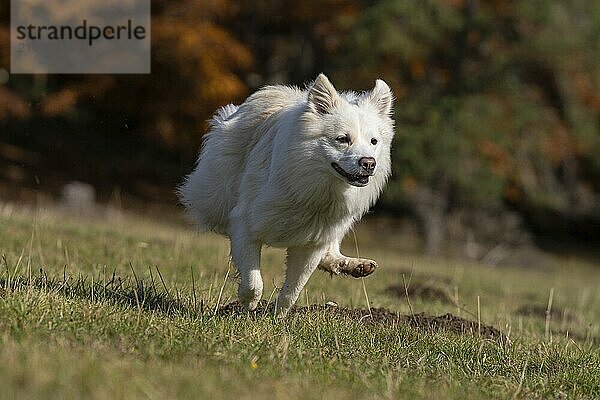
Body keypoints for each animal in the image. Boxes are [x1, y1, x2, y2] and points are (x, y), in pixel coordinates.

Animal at [178, 73, 394, 314]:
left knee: (331, 249)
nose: (369, 163)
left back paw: (353, 265)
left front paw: (277, 316)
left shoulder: (312, 241)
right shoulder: (245, 225)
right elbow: (254, 281)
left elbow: (294, 289)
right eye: (342, 139)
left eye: (373, 142)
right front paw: (248, 304)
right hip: (216, 194)